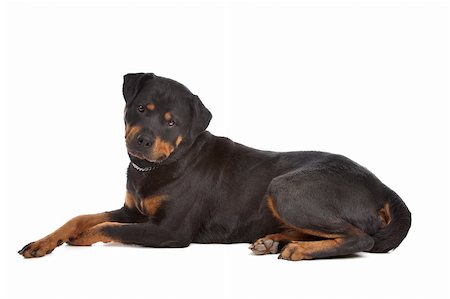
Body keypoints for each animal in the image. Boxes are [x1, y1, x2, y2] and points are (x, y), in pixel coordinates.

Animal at [17, 74, 412, 262]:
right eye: (141, 108)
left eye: (172, 122)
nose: (142, 140)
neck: (157, 168)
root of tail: (384, 188)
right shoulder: (133, 210)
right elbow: (81, 216)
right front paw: (43, 242)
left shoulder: (171, 231)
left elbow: (106, 227)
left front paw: (81, 238)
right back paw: (273, 241)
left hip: (286, 187)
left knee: (360, 237)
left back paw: (297, 250)